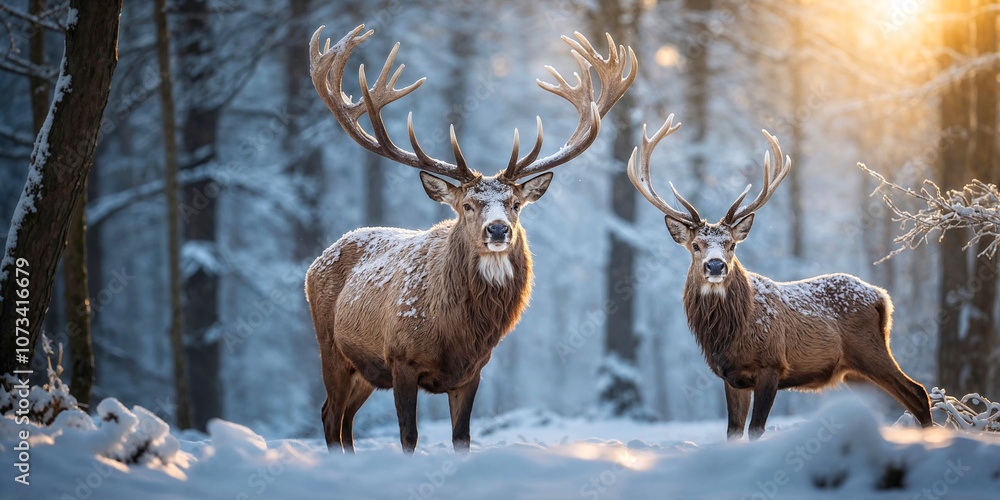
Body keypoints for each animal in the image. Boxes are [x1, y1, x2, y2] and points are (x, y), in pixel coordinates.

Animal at [305, 25, 636, 454]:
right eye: (467, 205)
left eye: (515, 203)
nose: (498, 229)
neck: (458, 332)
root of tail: (316, 261)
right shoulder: (400, 358)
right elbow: (408, 436)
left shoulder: (473, 371)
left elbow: (462, 437)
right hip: (332, 347)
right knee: (330, 415)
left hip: (363, 371)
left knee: (343, 420)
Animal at [626, 115, 933, 440]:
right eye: (695, 245)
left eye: (731, 245)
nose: (715, 266)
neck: (730, 334)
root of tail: (882, 297)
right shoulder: (731, 377)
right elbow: (733, 431)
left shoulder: (772, 364)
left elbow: (756, 429)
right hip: (854, 371)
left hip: (870, 348)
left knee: (917, 392)